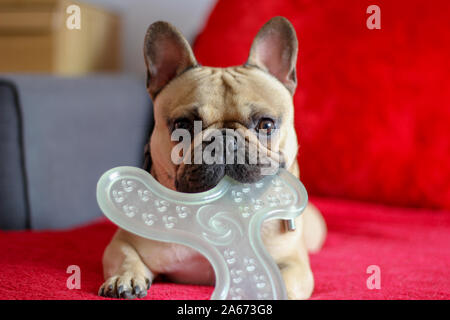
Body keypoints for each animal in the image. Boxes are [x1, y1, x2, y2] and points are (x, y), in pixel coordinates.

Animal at [98, 15, 326, 300]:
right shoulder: (124, 241)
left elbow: (287, 281)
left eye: (266, 124)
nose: (225, 140)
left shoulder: (295, 264)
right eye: (182, 125)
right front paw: (125, 278)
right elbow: (125, 255)